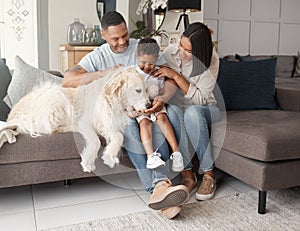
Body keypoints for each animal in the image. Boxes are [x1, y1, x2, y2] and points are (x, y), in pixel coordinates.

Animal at [0, 67, 150, 171]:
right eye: (138, 90)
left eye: (146, 90)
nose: (149, 105)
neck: (112, 101)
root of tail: (12, 117)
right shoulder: (87, 122)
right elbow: (96, 140)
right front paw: (89, 162)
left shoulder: (109, 124)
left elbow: (119, 137)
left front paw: (110, 156)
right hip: (57, 97)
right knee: (53, 128)